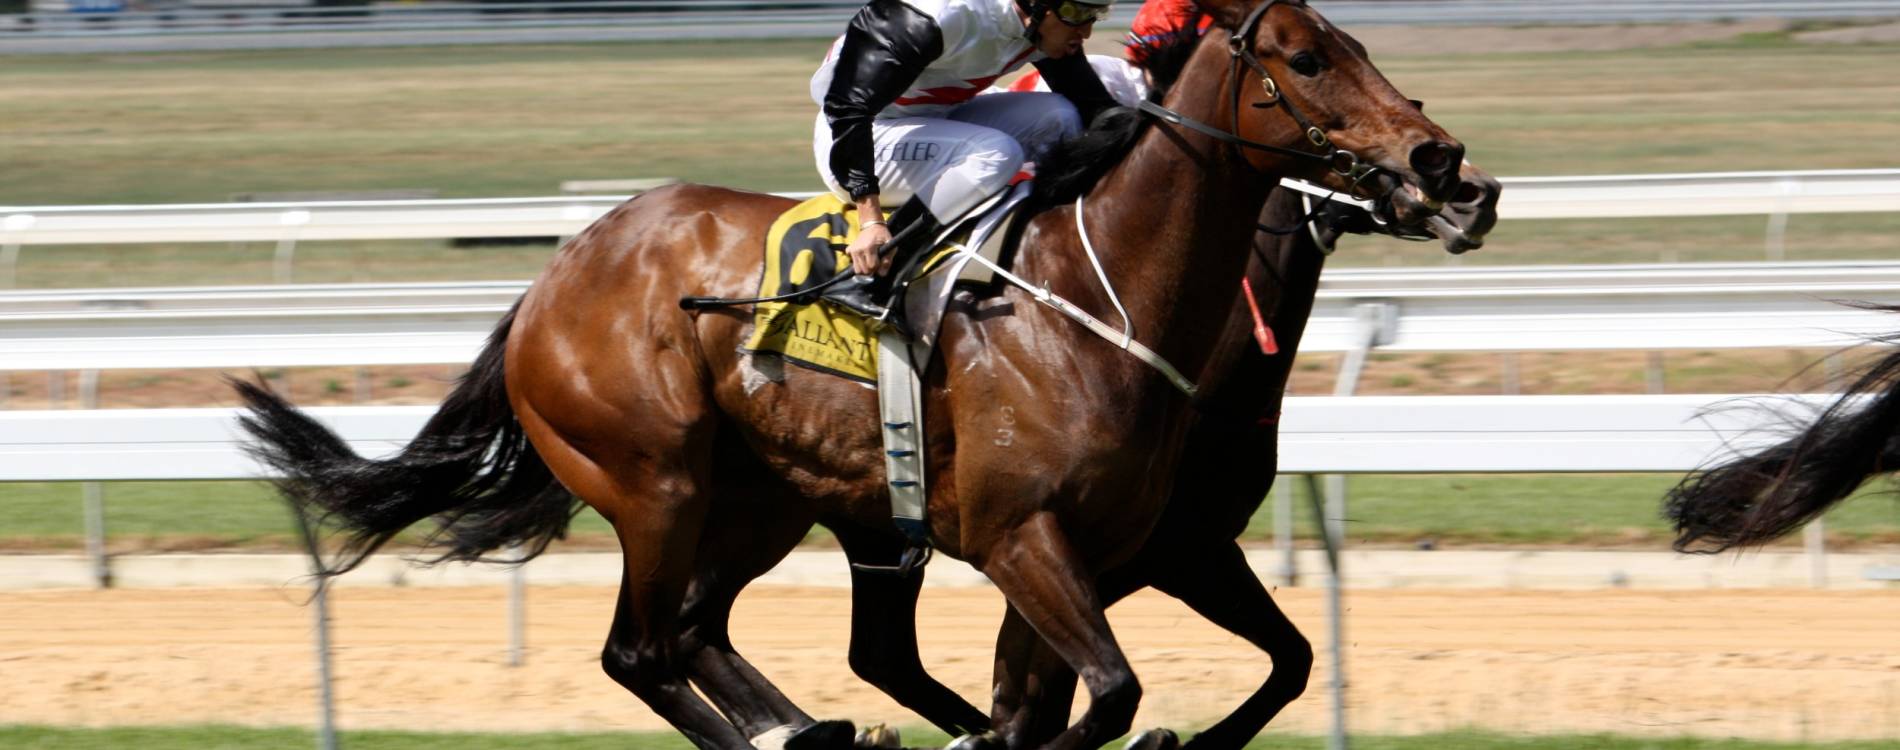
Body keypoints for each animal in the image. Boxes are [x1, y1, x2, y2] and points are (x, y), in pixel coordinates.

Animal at [233, 0, 1468, 747]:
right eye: (1306, 59)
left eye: (1359, 44)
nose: (1444, 160)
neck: (1097, 293)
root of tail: (553, 279)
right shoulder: (1029, 539)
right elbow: (1108, 693)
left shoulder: (1114, 546)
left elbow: (1200, 673)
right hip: (655, 479)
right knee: (641, 648)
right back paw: (790, 732)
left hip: (762, 498)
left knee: (699, 631)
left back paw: (812, 727)